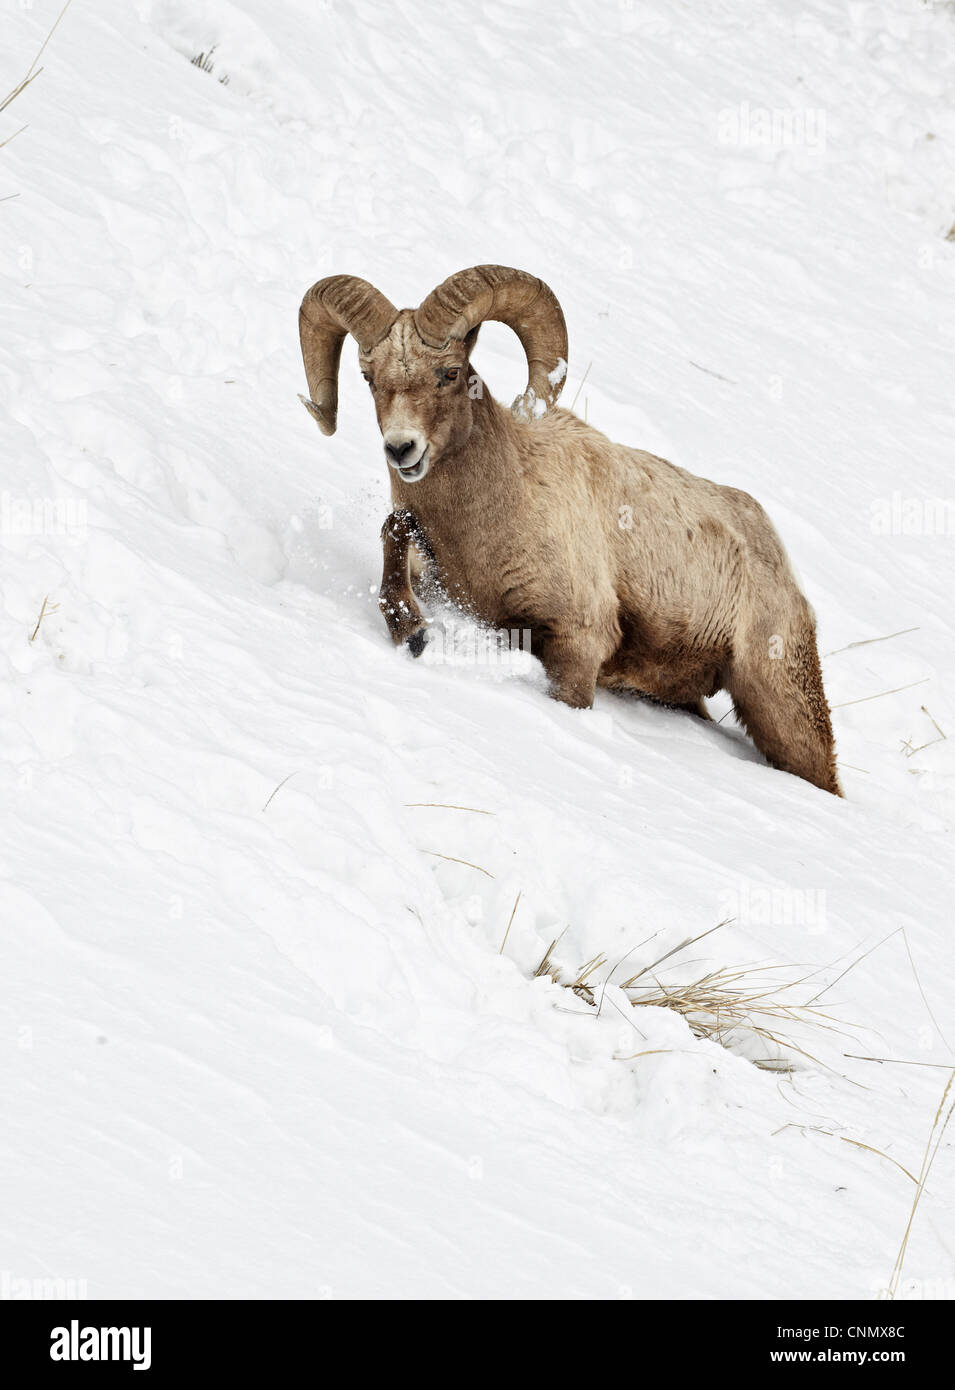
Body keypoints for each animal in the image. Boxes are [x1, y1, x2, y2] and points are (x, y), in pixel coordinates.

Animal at [300, 261, 845, 795]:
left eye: (449, 373)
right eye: (369, 377)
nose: (401, 449)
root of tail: (777, 557)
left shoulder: (577, 644)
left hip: (782, 705)